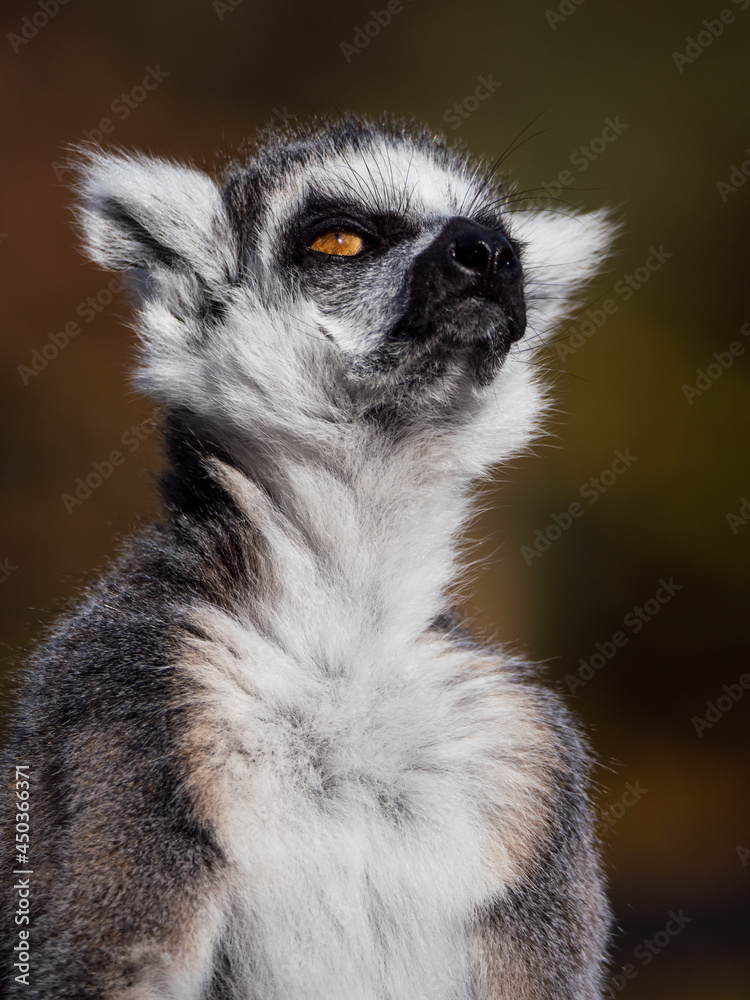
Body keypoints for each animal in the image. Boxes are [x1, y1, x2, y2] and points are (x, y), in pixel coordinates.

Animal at [0, 114, 615, 999]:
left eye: (506, 244)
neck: (347, 630)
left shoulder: (530, 760)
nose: (489, 254)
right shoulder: (124, 704)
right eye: (340, 239)